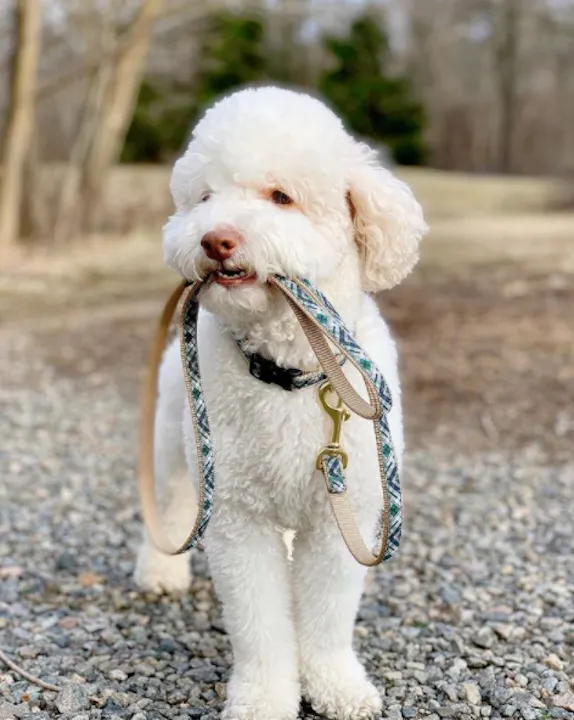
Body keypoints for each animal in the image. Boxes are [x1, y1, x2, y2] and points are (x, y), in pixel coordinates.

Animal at [135, 86, 430, 720]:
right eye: (205, 198)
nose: (215, 238)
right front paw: (265, 698)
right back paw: (160, 571)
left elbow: (326, 618)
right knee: (168, 506)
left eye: (280, 197)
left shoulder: (343, 517)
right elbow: (260, 625)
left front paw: (335, 686)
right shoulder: (237, 520)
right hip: (175, 446)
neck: (290, 370)